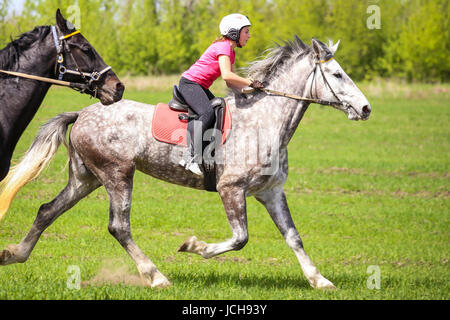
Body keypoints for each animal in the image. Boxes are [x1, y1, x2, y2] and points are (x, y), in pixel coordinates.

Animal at [0, 36, 370, 288]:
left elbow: (293, 237)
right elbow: (240, 238)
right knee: (119, 226)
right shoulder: (231, 189)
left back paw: (13, 254)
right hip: (117, 173)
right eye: (337, 74)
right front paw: (195, 246)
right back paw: (156, 276)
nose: (366, 109)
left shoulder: (271, 192)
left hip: (86, 177)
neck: (265, 120)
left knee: (47, 210)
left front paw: (319, 280)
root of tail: (81, 113)